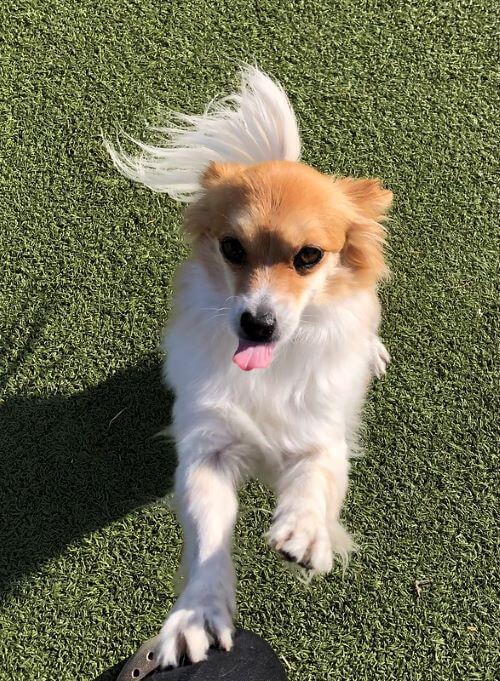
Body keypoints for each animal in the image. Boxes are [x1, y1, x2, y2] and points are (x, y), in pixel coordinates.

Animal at [107, 67, 392, 664]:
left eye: (309, 257)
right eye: (232, 249)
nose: (257, 323)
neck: (270, 367)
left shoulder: (321, 440)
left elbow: (314, 483)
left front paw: (307, 532)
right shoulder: (207, 450)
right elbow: (209, 536)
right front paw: (196, 613)